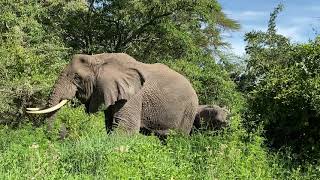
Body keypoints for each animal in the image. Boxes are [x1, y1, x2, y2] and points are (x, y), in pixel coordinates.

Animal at [27, 53, 199, 136]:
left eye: (77, 78)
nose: (63, 130)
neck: (99, 58)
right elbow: (110, 125)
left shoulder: (134, 95)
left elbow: (125, 127)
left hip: (189, 112)